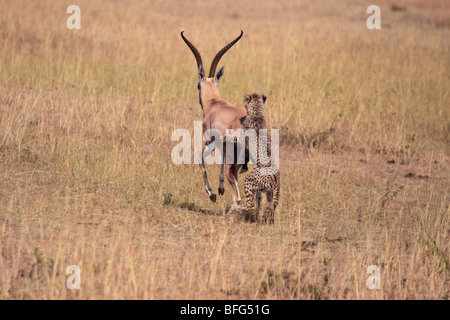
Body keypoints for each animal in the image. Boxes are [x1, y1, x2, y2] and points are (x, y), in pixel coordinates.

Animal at [227, 92, 280, 222]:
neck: (257, 112)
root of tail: (277, 179)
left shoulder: (242, 139)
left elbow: (234, 138)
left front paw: (224, 135)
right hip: (269, 193)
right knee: (269, 206)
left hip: (249, 180)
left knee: (251, 204)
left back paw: (234, 208)